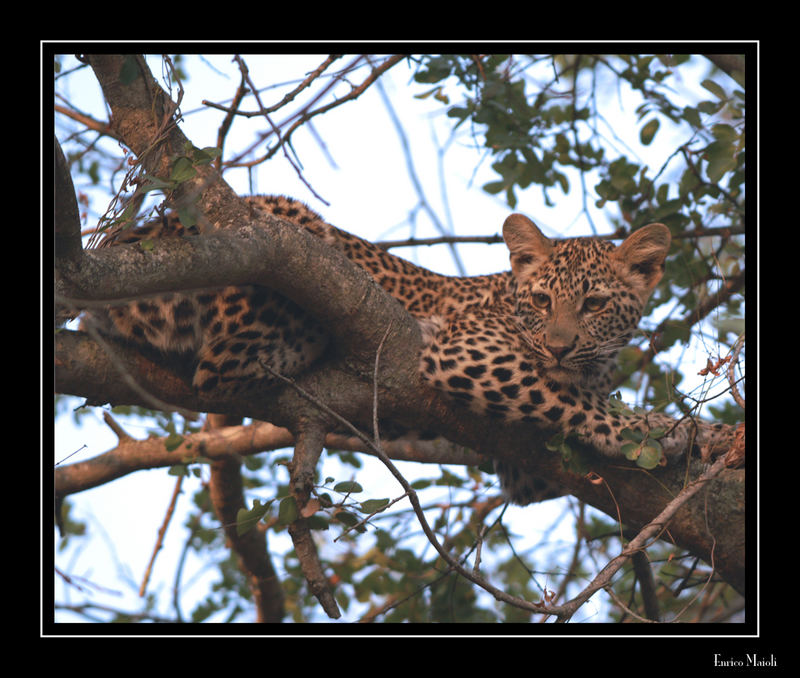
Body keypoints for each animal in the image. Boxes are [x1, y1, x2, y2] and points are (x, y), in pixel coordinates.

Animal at [87, 195, 736, 504]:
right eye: (542, 300)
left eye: (596, 304)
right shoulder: (471, 351)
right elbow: (576, 402)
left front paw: (714, 435)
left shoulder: (521, 476)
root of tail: (133, 235)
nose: (557, 347)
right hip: (282, 232)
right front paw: (658, 429)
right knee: (216, 370)